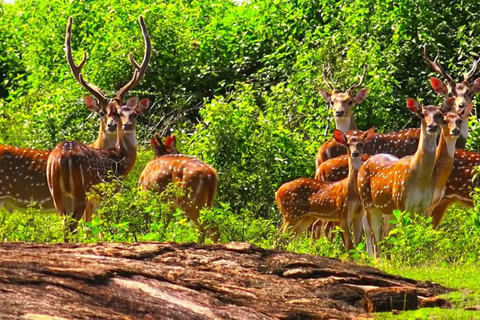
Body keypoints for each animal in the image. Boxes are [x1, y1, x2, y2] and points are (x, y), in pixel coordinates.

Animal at [45, 15, 150, 228]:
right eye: (102, 112)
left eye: (121, 112)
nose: (115, 125)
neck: (119, 158)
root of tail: (61, 158)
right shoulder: (107, 192)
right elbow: (104, 227)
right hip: (80, 191)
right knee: (72, 227)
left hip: (56, 193)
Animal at [358, 97, 460, 258]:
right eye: (422, 114)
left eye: (439, 114)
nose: (432, 126)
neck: (420, 179)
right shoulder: (402, 202)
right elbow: (403, 233)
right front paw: (404, 256)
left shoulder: (424, 206)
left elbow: (420, 232)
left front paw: (418, 254)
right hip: (367, 201)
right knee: (374, 233)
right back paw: (377, 259)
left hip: (388, 209)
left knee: (384, 233)